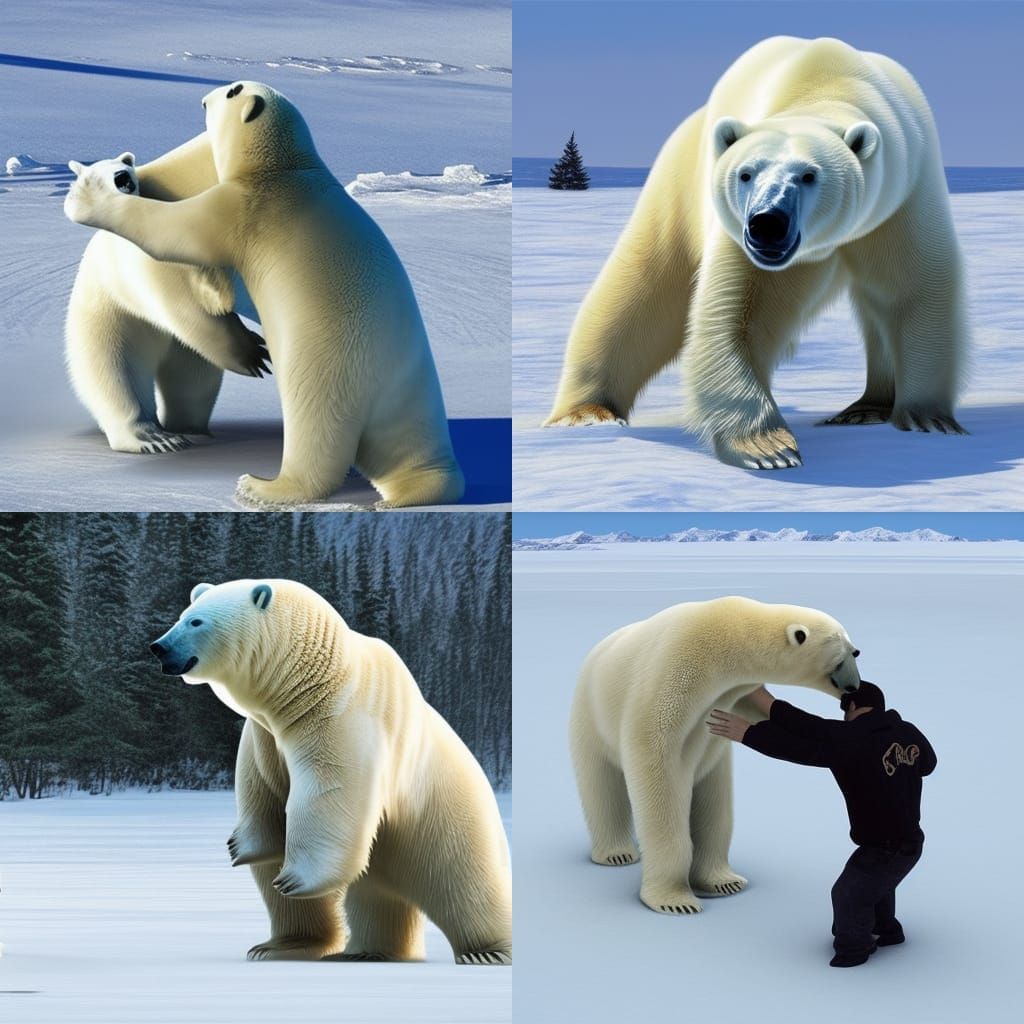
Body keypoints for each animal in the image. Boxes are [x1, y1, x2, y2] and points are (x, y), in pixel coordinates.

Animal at [66, 147, 269, 453]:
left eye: (124, 166)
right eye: (94, 176)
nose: (122, 178)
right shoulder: (140, 268)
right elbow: (183, 305)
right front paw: (254, 352)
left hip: (179, 350)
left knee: (192, 379)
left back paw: (190, 428)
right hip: (110, 325)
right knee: (115, 376)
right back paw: (153, 437)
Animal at [149, 578, 512, 965]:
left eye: (196, 622)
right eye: (182, 615)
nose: (159, 647)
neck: (306, 685)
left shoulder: (341, 719)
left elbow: (329, 791)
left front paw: (295, 879)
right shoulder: (264, 735)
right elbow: (261, 793)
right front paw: (241, 846)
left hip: (442, 813)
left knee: (465, 881)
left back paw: (486, 952)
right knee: (368, 895)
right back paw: (318, 949)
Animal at [545, 36, 967, 470]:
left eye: (809, 175)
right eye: (746, 173)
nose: (767, 224)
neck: (828, 85)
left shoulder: (901, 196)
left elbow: (914, 292)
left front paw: (927, 418)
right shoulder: (740, 238)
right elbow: (738, 316)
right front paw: (769, 447)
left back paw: (865, 408)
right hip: (680, 186)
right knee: (644, 288)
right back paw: (587, 413)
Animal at [569, 595, 861, 914]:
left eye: (855, 651)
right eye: (845, 655)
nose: (855, 687)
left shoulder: (732, 694)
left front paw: (721, 882)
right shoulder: (674, 673)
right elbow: (656, 763)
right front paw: (675, 901)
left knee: (713, 799)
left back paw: (721, 880)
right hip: (590, 718)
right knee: (602, 787)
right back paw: (617, 853)